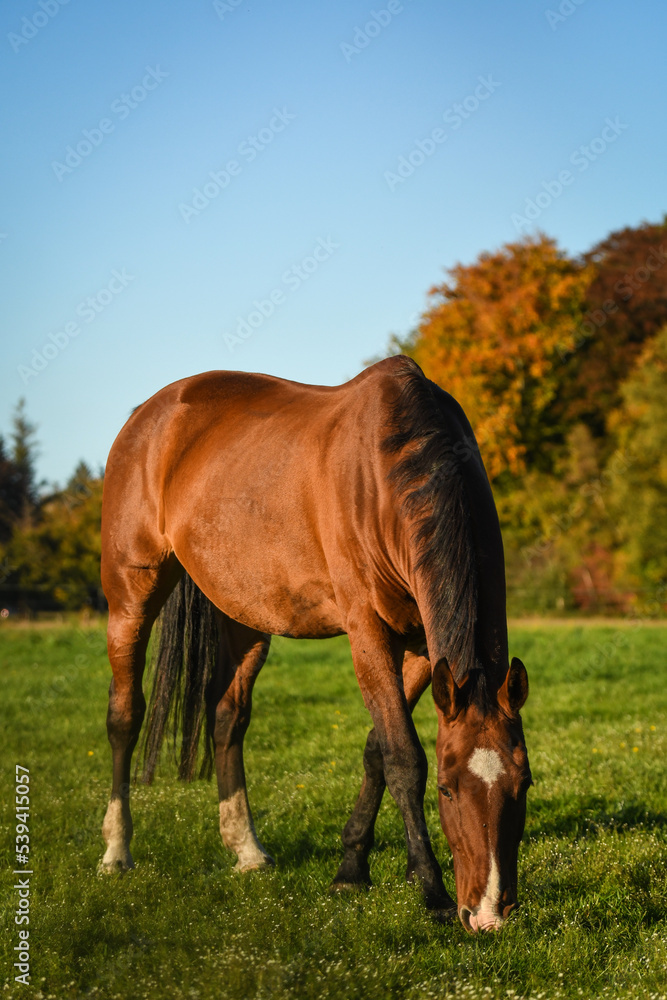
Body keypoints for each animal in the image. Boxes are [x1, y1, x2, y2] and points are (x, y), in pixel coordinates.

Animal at [99, 354, 531, 934]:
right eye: (447, 787)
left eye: (524, 784)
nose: (488, 913)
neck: (390, 470)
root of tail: (147, 415)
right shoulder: (369, 633)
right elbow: (403, 757)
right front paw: (431, 890)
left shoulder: (422, 649)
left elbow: (376, 749)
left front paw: (351, 868)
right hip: (130, 596)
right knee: (125, 715)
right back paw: (116, 852)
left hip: (246, 616)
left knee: (227, 719)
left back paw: (247, 850)